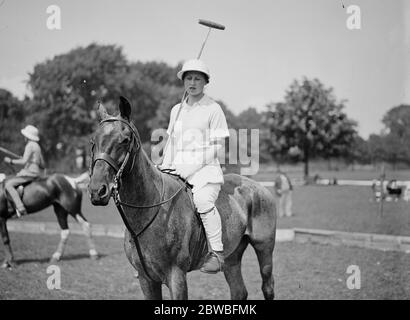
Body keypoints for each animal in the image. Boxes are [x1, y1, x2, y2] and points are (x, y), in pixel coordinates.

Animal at [88, 95, 278, 300]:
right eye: (93, 141)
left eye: (124, 140)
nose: (97, 191)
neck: (149, 211)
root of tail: (259, 187)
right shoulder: (146, 279)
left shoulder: (176, 275)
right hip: (231, 256)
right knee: (239, 291)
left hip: (264, 247)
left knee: (267, 285)